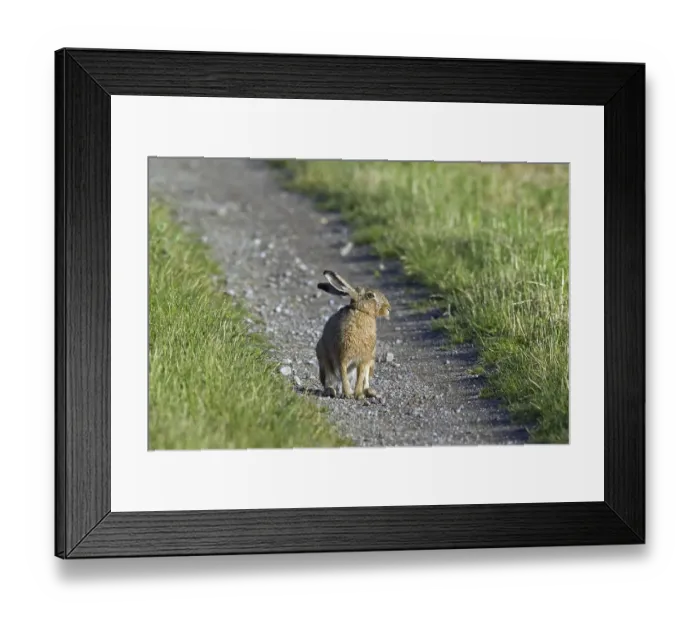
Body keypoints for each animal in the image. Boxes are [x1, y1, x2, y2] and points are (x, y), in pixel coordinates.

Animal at [315, 270, 391, 400]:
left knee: (365, 380)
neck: (361, 312)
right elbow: (344, 375)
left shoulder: (363, 360)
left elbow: (360, 377)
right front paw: (348, 394)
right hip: (323, 359)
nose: (388, 308)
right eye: (370, 295)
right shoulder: (342, 356)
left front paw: (358, 395)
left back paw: (369, 392)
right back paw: (331, 391)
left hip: (371, 361)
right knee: (330, 381)